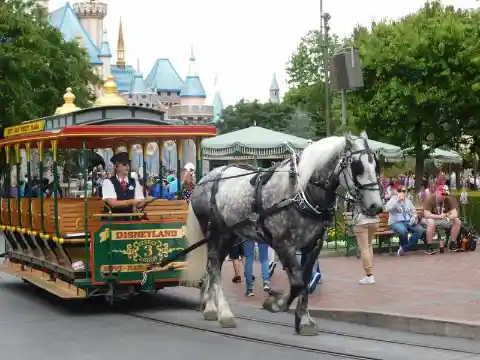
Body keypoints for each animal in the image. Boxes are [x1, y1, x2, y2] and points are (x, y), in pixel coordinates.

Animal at [182, 134, 384, 336]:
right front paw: (275, 304)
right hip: (217, 233)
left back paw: (209, 307)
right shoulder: (284, 245)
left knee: (211, 265)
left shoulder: (313, 246)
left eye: (375, 165)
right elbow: (297, 283)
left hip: (231, 235)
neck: (300, 193)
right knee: (215, 266)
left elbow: (305, 280)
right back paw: (224, 313)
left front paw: (304, 320)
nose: (376, 206)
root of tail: (206, 178)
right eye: (357, 166)